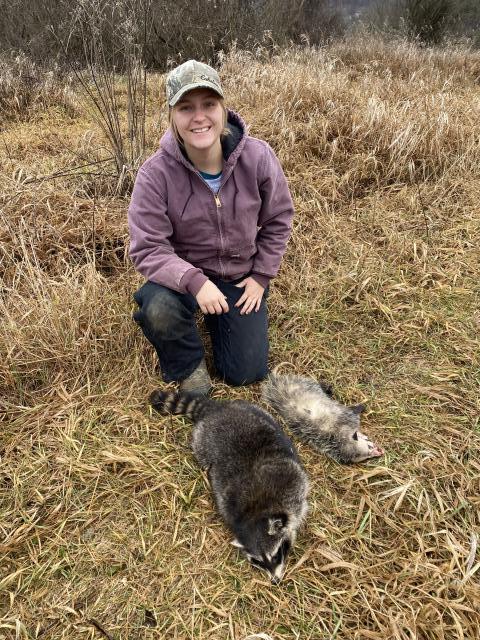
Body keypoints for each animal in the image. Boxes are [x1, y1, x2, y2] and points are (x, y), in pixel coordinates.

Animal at [150, 390, 309, 583]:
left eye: (276, 555)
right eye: (259, 562)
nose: (275, 581)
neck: (256, 513)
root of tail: (215, 410)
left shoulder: (293, 485)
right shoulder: (229, 507)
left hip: (252, 410)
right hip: (202, 442)